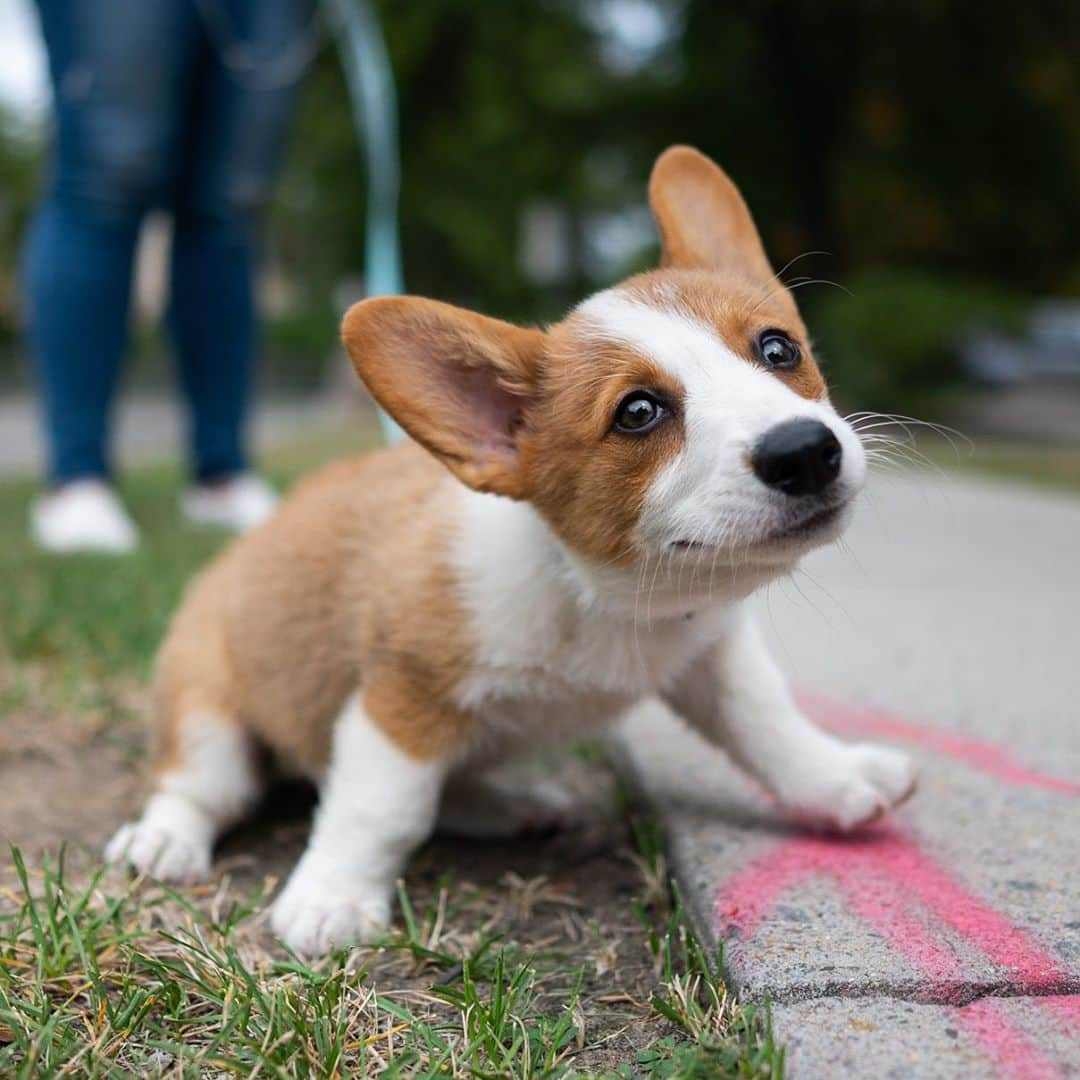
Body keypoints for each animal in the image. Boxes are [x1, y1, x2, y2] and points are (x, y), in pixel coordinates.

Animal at [107, 150, 911, 954]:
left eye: (778, 348)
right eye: (638, 412)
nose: (804, 452)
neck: (603, 595)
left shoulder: (711, 656)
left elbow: (767, 724)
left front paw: (839, 780)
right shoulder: (402, 699)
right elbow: (382, 809)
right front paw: (332, 897)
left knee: (450, 788)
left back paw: (513, 806)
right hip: (209, 714)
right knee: (200, 786)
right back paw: (164, 839)